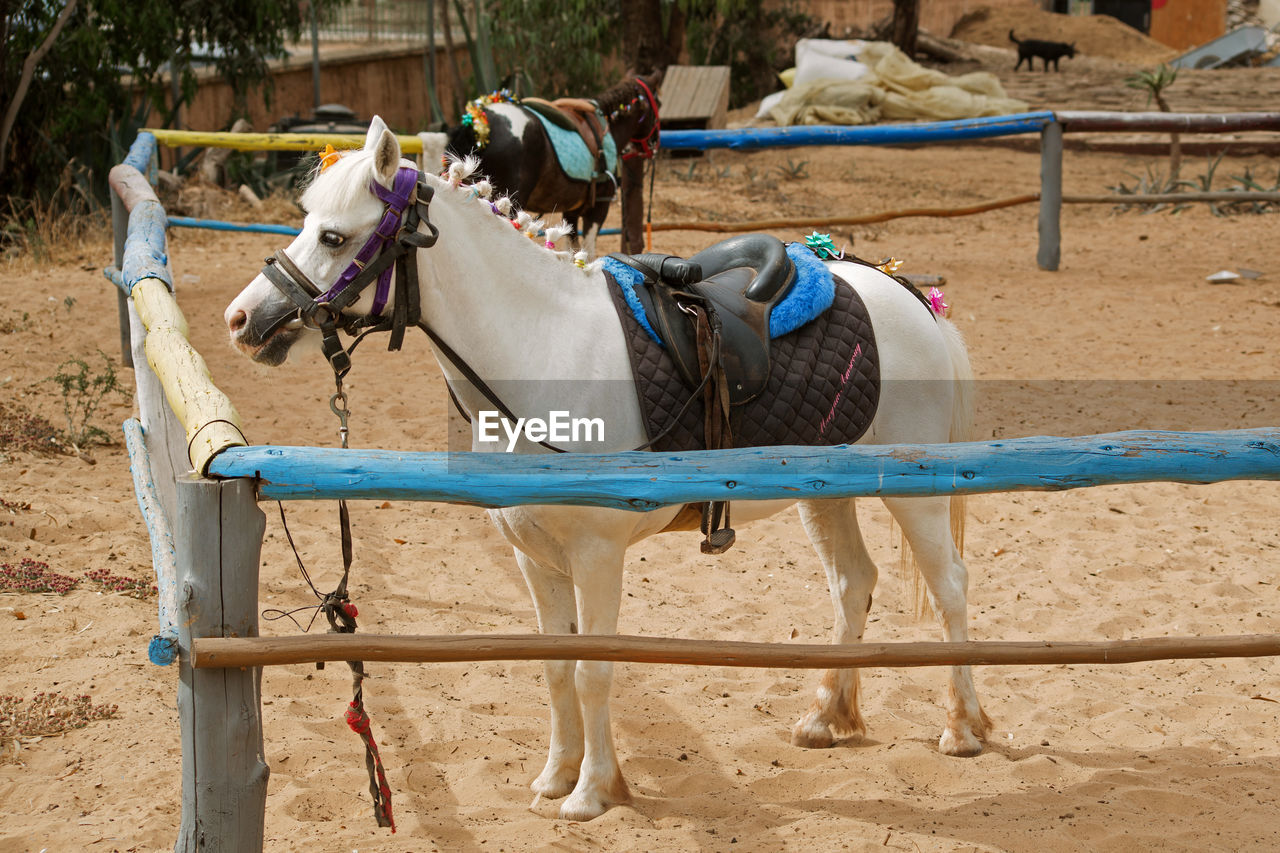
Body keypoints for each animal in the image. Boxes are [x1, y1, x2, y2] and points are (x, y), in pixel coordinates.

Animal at [225, 116, 983, 819]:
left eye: (333, 237)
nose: (241, 319)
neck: (543, 353)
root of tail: (910, 295)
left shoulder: (595, 554)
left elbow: (593, 670)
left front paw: (591, 792)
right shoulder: (535, 557)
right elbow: (556, 667)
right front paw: (556, 777)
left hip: (911, 492)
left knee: (949, 584)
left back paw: (963, 728)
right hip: (826, 492)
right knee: (853, 583)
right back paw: (827, 716)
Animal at [419, 73, 660, 256]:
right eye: (659, 103)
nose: (654, 143)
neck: (605, 129)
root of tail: (478, 126)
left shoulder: (571, 212)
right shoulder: (598, 207)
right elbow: (589, 250)